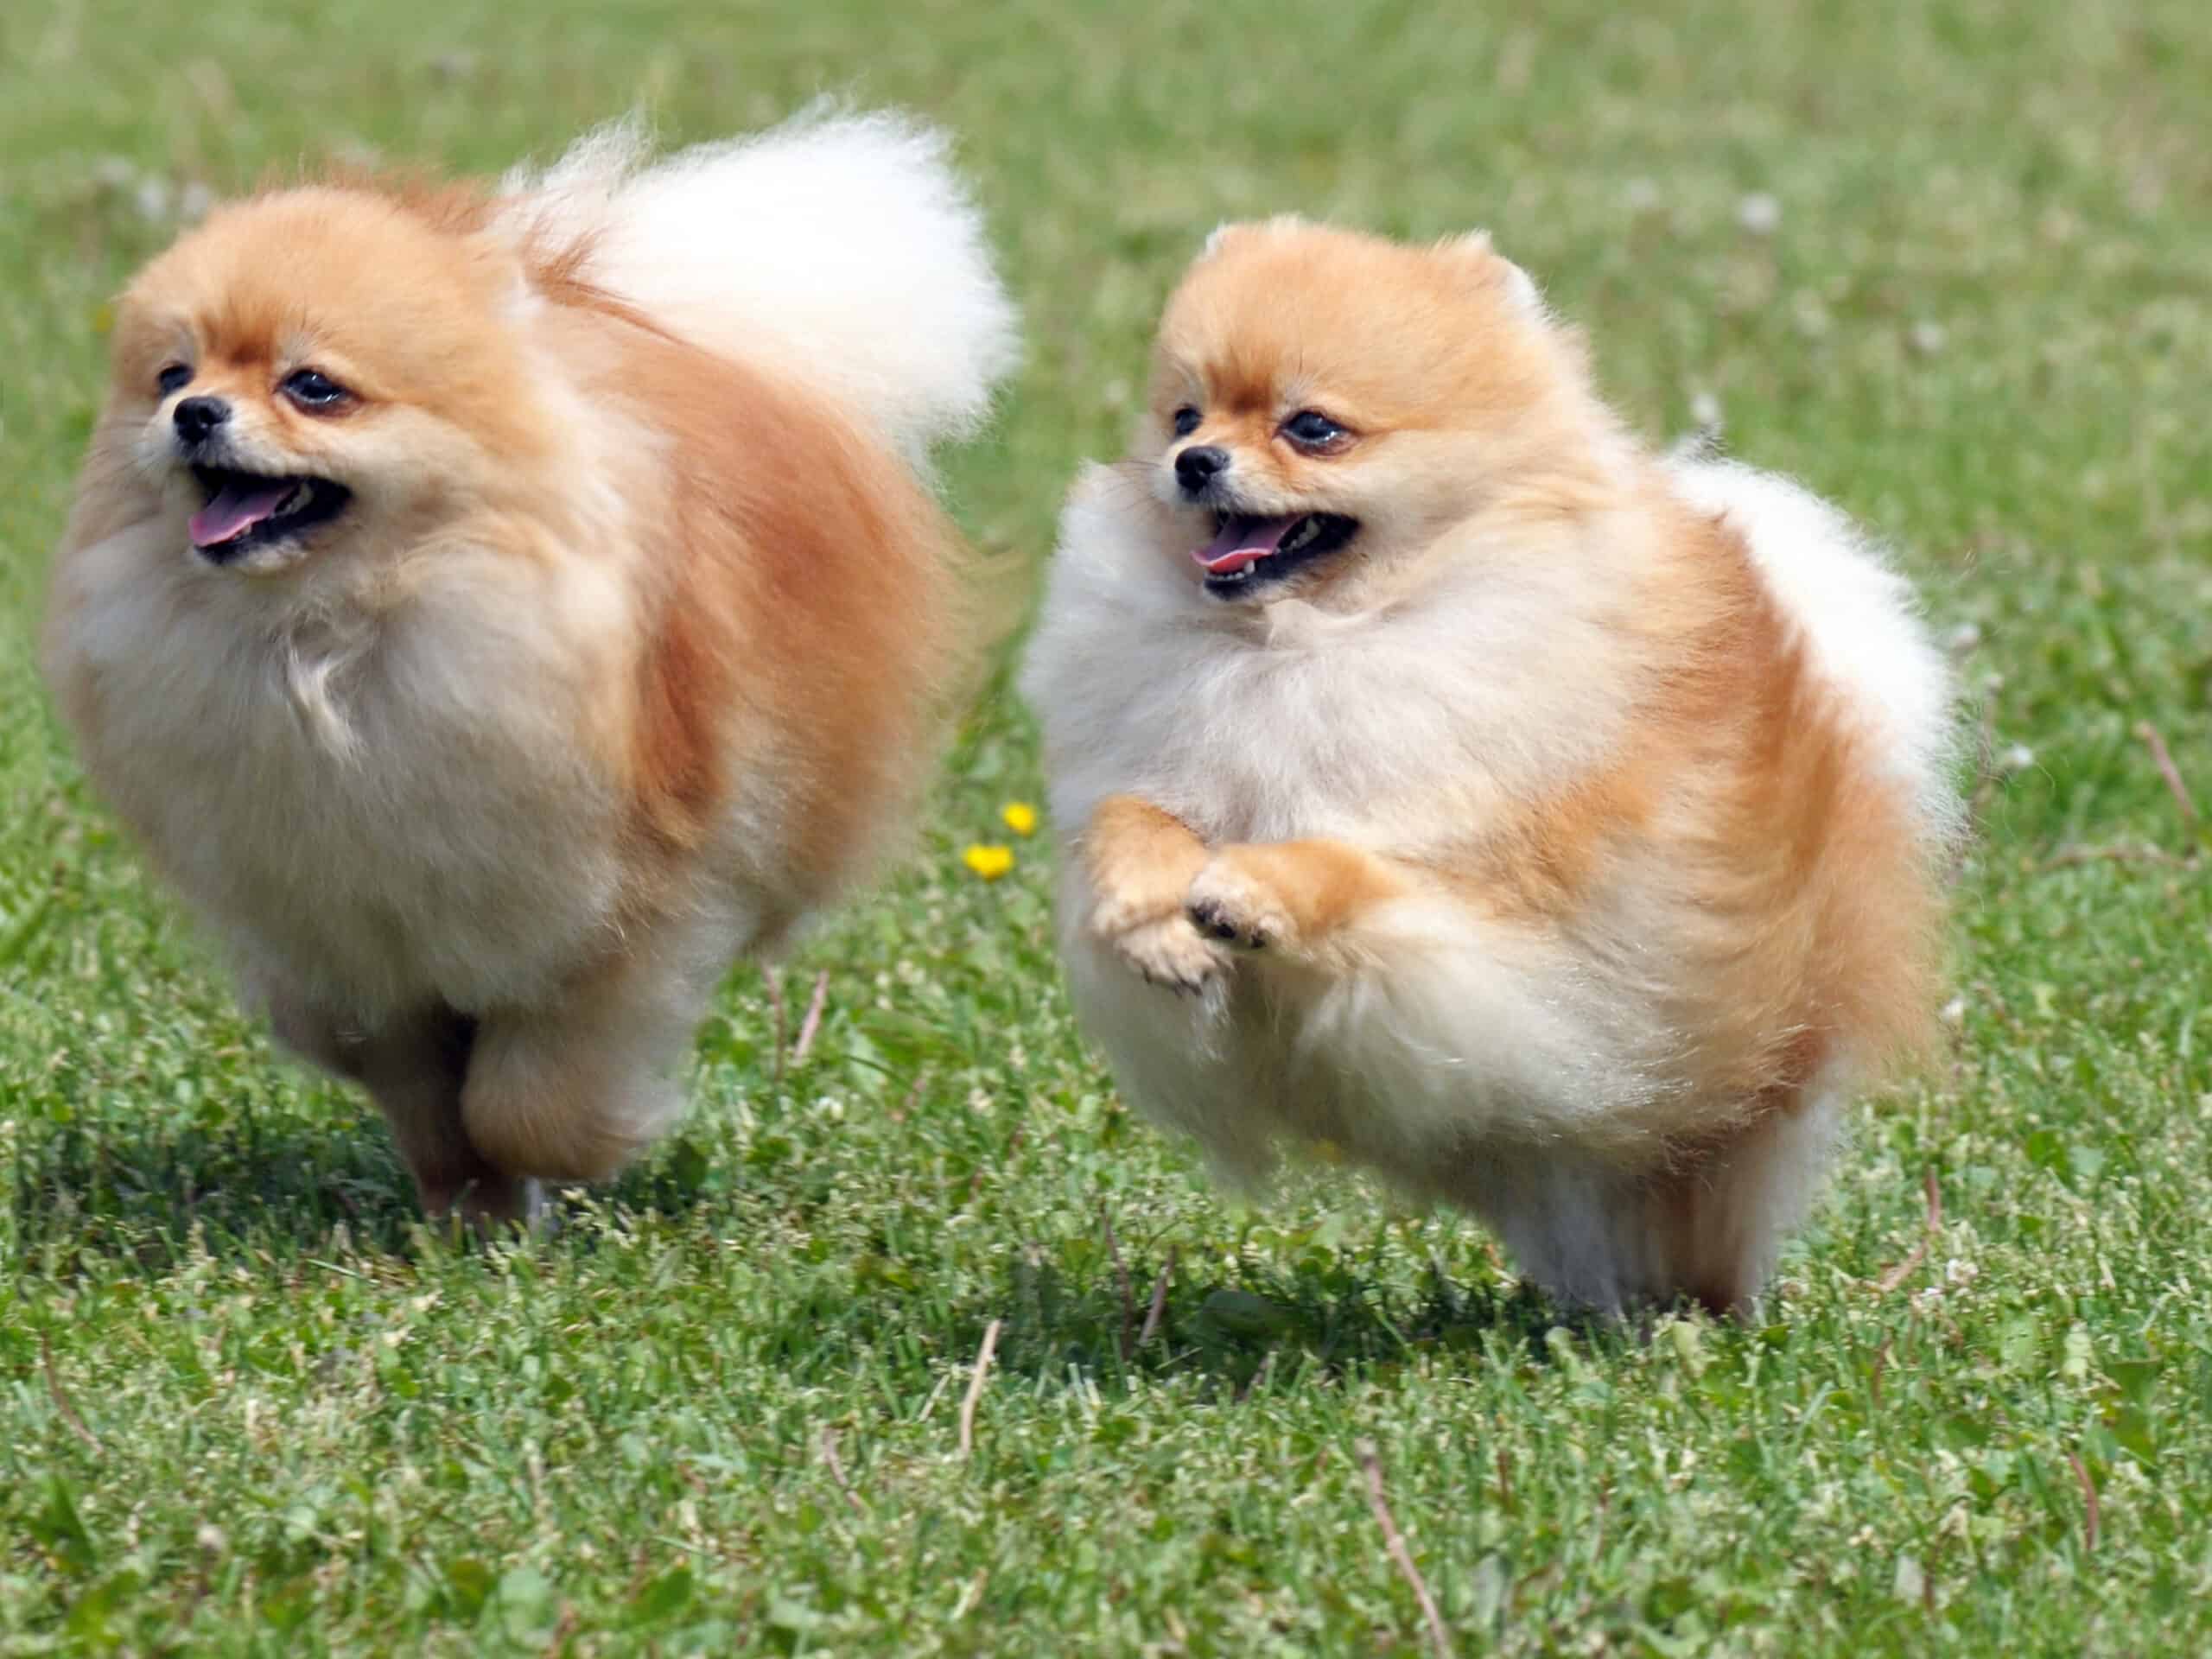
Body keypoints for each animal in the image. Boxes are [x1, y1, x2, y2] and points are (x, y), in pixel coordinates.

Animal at [48, 113, 1017, 1221]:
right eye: (173, 375)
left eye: (313, 388)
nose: (196, 414)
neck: (327, 643)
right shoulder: (347, 943)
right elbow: (425, 1098)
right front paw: (465, 1204)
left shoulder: (612, 921)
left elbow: (529, 1100)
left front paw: (563, 1171)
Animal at [1017, 218, 1955, 1309]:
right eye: (1182, 413)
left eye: (1311, 428)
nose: (1194, 461)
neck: (1301, 645)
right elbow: (1134, 814)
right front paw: (1151, 921)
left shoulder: (1496, 896)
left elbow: (1352, 863)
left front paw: (1249, 894)